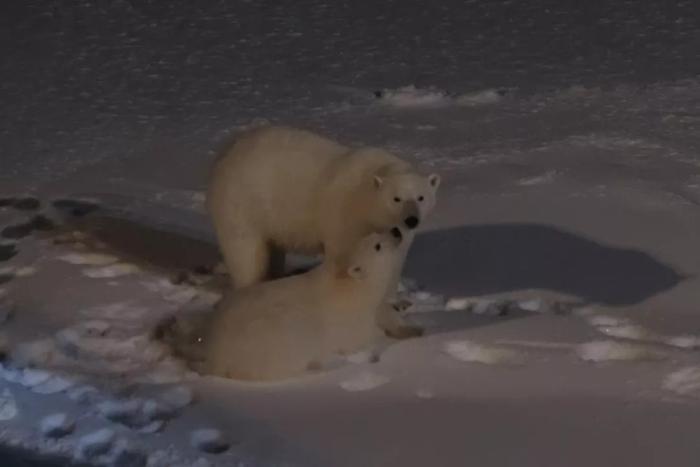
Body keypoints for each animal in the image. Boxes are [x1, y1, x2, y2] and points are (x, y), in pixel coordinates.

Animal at [205, 123, 440, 292]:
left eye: (421, 197)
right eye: (396, 198)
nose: (412, 220)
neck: (365, 197)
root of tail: (225, 152)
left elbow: (394, 255)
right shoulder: (345, 214)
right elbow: (343, 251)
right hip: (243, 200)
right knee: (245, 250)